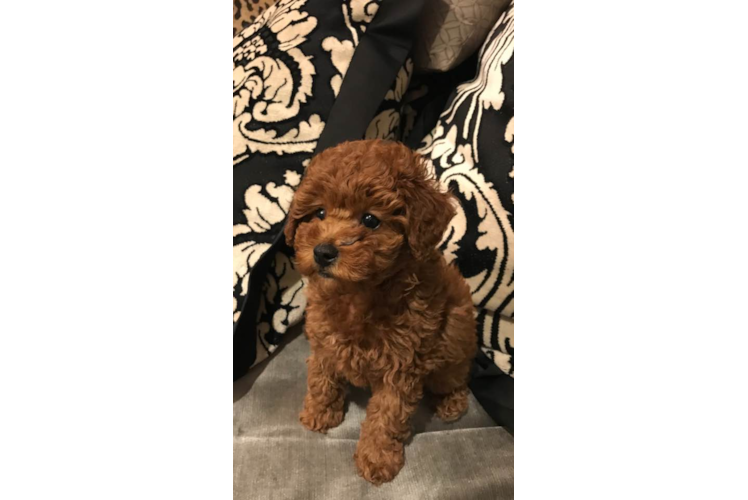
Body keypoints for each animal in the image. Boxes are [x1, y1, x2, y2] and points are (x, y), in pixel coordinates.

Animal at [284, 138, 476, 484]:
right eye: (319, 212)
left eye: (371, 220)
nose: (322, 252)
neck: (357, 292)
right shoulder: (324, 341)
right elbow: (321, 378)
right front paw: (319, 413)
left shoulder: (401, 367)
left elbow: (387, 415)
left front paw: (377, 458)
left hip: (453, 344)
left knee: (455, 377)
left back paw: (452, 403)